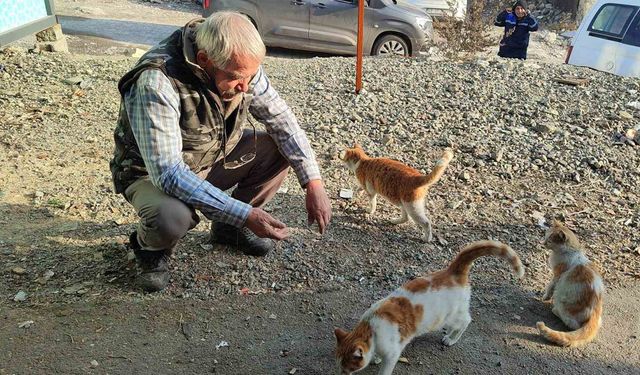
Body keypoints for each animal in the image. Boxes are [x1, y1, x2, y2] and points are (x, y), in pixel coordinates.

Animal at [332, 241, 524, 375]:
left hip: (449, 317)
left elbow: (385, 369)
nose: (341, 373)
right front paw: (376, 358)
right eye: (340, 366)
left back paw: (451, 339)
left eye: (347, 368)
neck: (371, 328)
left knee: (466, 321)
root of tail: (453, 271)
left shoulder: (393, 353)